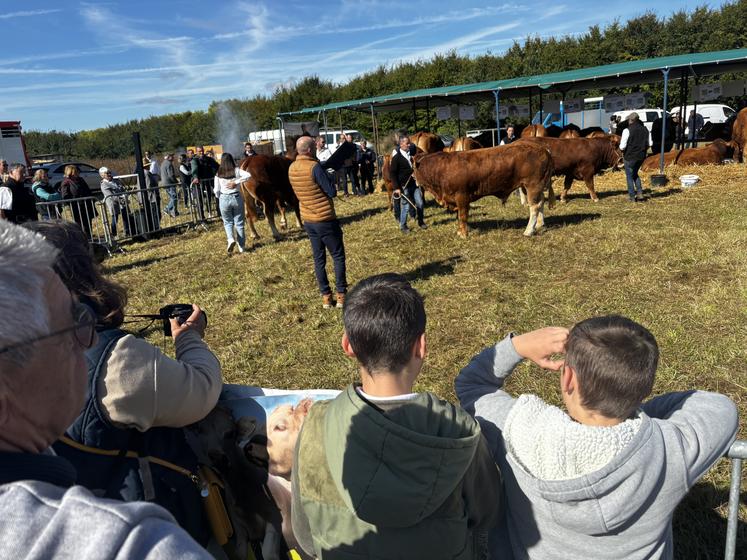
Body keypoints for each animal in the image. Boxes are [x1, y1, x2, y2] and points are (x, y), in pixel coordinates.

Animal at [414, 143, 556, 237]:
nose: (413, 178)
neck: (441, 168)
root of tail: (544, 149)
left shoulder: (462, 196)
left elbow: (462, 216)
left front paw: (463, 233)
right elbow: (459, 216)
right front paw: (460, 231)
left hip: (532, 185)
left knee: (534, 207)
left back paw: (528, 231)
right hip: (529, 187)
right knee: (541, 202)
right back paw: (539, 224)